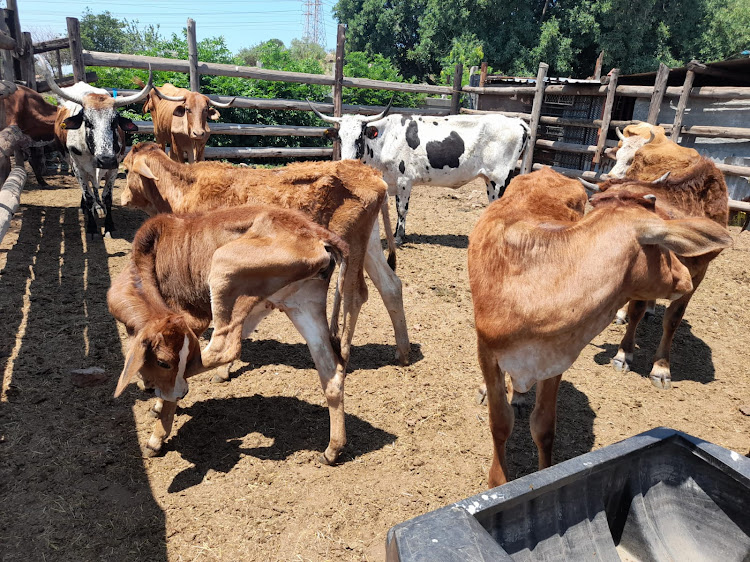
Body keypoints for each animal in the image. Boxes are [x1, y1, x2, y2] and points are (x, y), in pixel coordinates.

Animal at [43, 65, 154, 236]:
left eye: (114, 122)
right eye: (87, 122)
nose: (106, 160)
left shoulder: (114, 166)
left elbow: (107, 196)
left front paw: (109, 225)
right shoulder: (78, 168)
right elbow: (87, 195)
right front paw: (92, 227)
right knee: (87, 189)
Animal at [108, 201, 350, 460]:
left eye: (163, 362)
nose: (181, 393)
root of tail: (315, 231)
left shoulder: (189, 318)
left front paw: (156, 436)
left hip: (224, 271)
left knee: (223, 349)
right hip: (303, 305)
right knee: (331, 369)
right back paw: (333, 448)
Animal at [124, 141, 414, 368]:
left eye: (125, 169)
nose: (123, 198)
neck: (185, 187)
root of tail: (371, 173)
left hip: (352, 246)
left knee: (354, 296)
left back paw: (344, 353)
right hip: (369, 245)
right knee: (390, 286)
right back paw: (403, 352)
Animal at [470, 166, 736, 486]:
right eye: (663, 245)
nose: (685, 276)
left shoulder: (555, 360)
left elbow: (543, 427)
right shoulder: (488, 351)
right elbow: (500, 423)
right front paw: (498, 480)